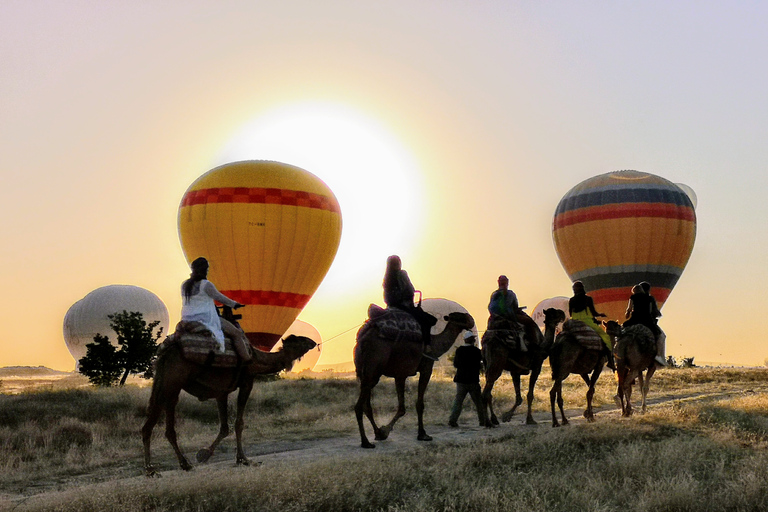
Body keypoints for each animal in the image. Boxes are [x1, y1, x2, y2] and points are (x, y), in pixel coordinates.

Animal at [142, 334, 316, 476]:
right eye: (301, 340)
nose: (313, 342)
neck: (256, 359)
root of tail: (165, 354)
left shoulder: (221, 392)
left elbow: (225, 427)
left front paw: (205, 454)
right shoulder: (247, 382)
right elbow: (239, 423)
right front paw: (243, 459)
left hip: (167, 385)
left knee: (161, 423)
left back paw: (174, 465)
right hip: (172, 382)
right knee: (155, 424)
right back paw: (156, 469)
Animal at [354, 310, 475, 448]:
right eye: (460, 317)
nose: (471, 320)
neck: (435, 344)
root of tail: (362, 340)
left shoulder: (400, 375)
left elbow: (402, 407)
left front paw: (383, 431)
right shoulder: (426, 367)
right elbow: (419, 404)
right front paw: (422, 434)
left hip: (365, 373)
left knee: (367, 405)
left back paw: (377, 433)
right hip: (373, 367)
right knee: (359, 406)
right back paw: (365, 442)